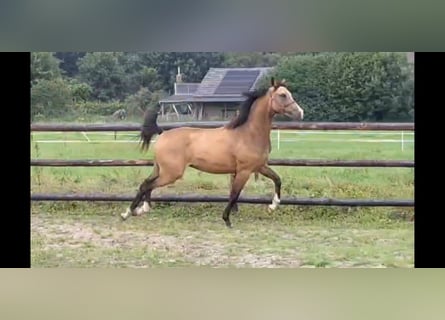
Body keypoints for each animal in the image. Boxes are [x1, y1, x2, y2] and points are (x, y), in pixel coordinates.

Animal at [119, 77, 304, 228]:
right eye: (282, 95)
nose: (300, 113)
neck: (248, 133)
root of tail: (163, 133)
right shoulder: (244, 171)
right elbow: (234, 194)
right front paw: (227, 220)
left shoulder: (259, 167)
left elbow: (277, 179)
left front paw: (273, 206)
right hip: (171, 173)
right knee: (148, 185)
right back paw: (132, 212)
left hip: (160, 169)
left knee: (145, 184)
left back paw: (134, 211)